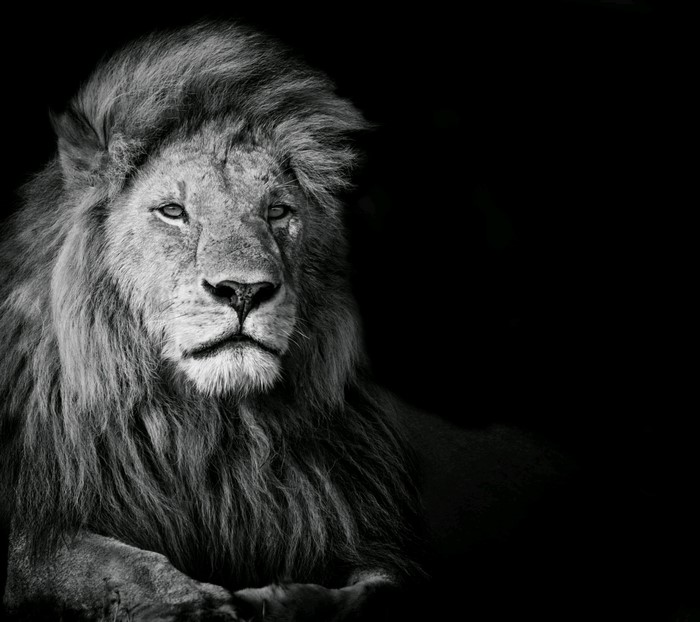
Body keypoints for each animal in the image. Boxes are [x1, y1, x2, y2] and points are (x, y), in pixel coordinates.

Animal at [0, 19, 564, 622]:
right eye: (173, 212)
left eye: (277, 212)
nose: (244, 291)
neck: (213, 434)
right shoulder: (39, 531)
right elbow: (103, 561)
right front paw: (195, 603)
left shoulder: (371, 532)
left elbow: (378, 590)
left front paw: (282, 600)